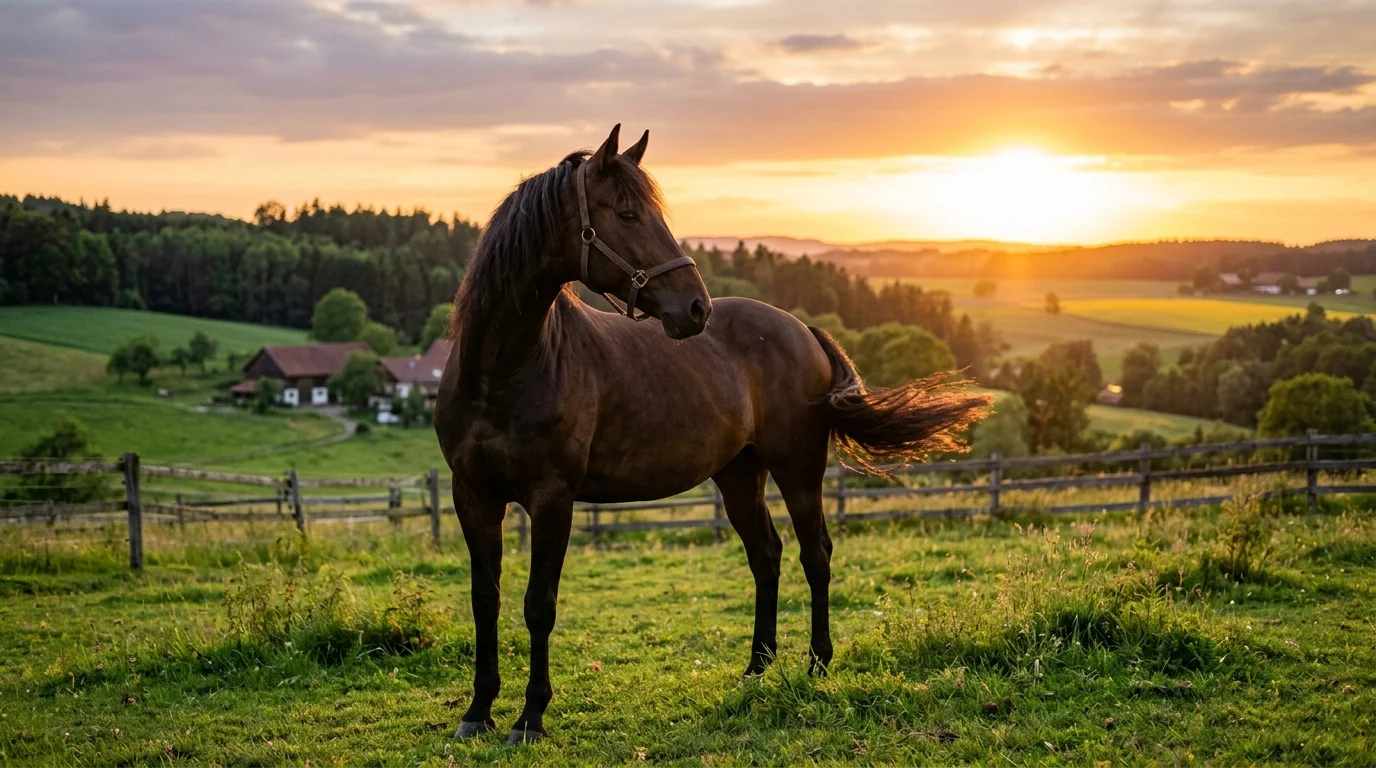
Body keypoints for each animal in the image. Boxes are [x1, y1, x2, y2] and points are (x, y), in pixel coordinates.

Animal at [434, 125, 991, 745]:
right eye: (626, 214)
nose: (695, 307)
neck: (503, 371)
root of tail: (802, 329)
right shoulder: (473, 496)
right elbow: (485, 600)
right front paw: (478, 711)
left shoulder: (552, 499)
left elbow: (539, 605)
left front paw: (531, 717)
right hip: (739, 474)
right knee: (766, 555)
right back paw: (757, 668)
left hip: (798, 470)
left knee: (815, 554)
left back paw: (818, 663)